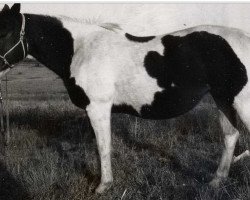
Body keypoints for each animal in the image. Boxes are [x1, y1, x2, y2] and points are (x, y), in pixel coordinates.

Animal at [0, 2, 250, 194]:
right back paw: (216, 181)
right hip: (223, 99)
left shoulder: (98, 108)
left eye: (5, 32)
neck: (81, 49)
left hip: (241, 102)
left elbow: (103, 146)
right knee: (230, 137)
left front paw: (103, 186)